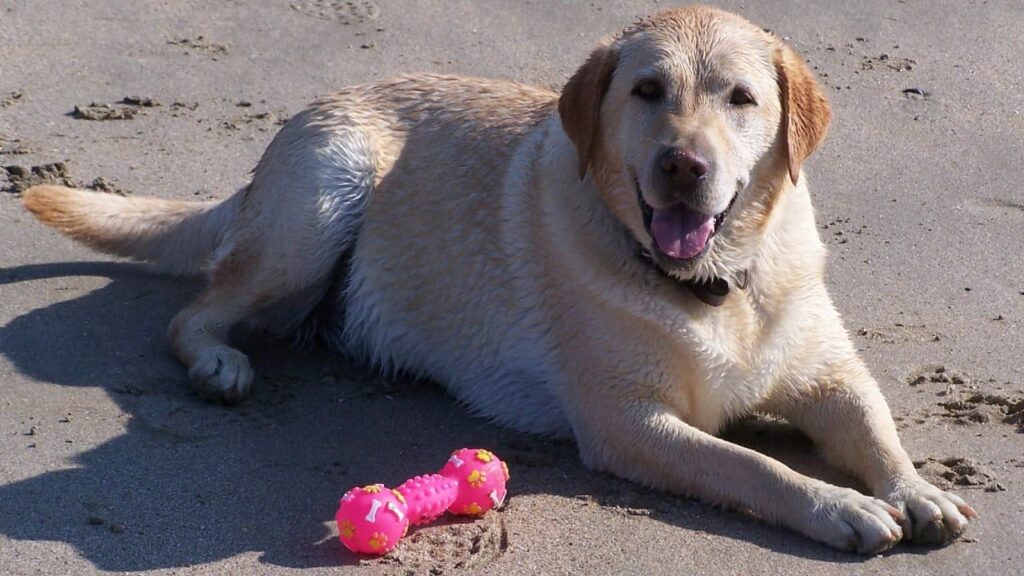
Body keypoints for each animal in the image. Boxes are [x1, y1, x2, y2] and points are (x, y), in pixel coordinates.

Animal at [24, 4, 970, 553]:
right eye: (647, 90)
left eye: (740, 98)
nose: (682, 167)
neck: (713, 286)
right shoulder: (630, 425)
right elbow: (753, 467)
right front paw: (838, 506)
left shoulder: (829, 375)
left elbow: (875, 424)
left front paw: (918, 489)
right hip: (322, 201)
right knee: (197, 309)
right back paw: (220, 362)